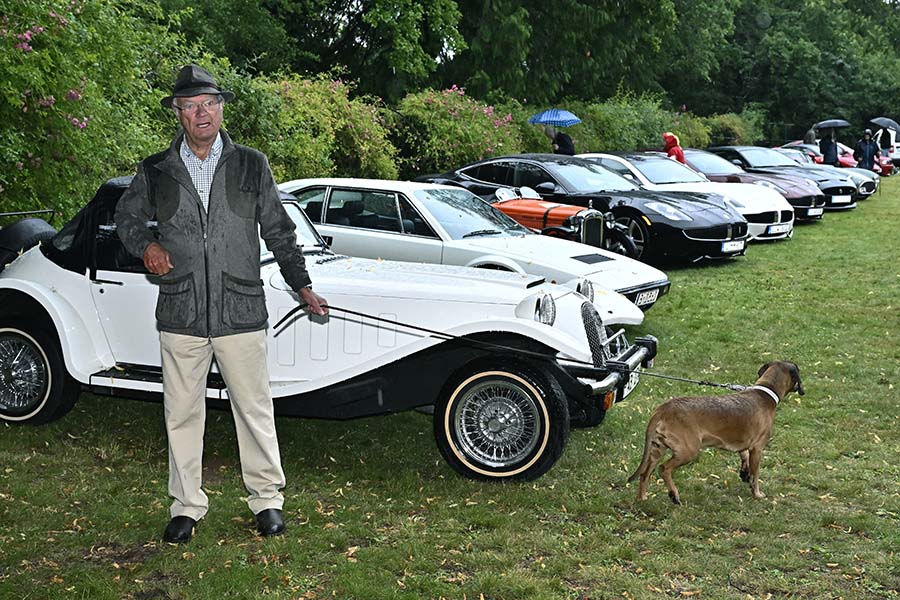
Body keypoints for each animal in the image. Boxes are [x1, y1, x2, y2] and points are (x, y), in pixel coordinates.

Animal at [628, 364, 804, 504]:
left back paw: (641, 498)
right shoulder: (758, 448)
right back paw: (674, 495)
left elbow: (744, 456)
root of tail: (662, 409)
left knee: (645, 474)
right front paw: (757, 493)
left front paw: (744, 473)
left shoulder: (744, 442)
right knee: (664, 468)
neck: (766, 392)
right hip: (688, 451)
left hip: (657, 449)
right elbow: (756, 475)